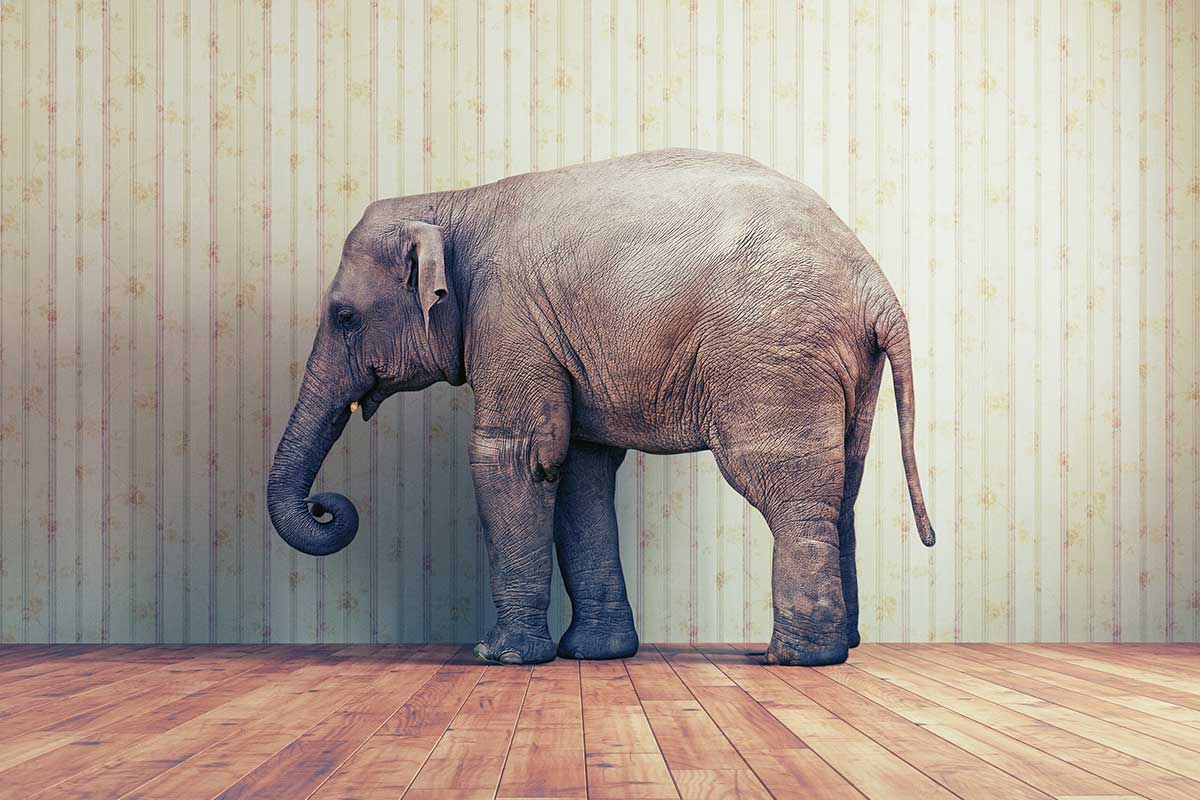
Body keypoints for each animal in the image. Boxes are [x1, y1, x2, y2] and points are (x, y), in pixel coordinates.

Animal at [267, 148, 935, 667]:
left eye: (343, 317)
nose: (328, 506)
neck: (454, 202)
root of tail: (874, 280)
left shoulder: (509, 316)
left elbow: (514, 456)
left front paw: (501, 656)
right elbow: (579, 469)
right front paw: (594, 653)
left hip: (772, 352)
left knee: (783, 487)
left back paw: (792, 658)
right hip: (847, 367)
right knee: (843, 485)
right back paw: (842, 647)